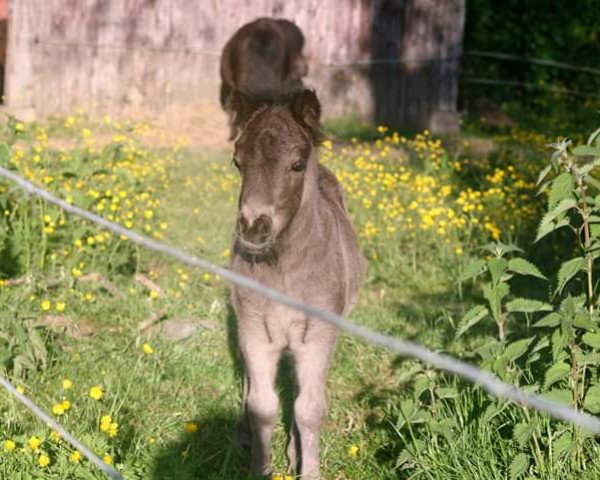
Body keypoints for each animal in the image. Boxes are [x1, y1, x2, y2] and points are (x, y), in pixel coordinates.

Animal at [229, 88, 360, 478]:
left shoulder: (317, 337)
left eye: (298, 165)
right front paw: (260, 467)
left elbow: (309, 409)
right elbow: (262, 406)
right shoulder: (254, 330)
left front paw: (306, 467)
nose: (253, 228)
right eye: (237, 162)